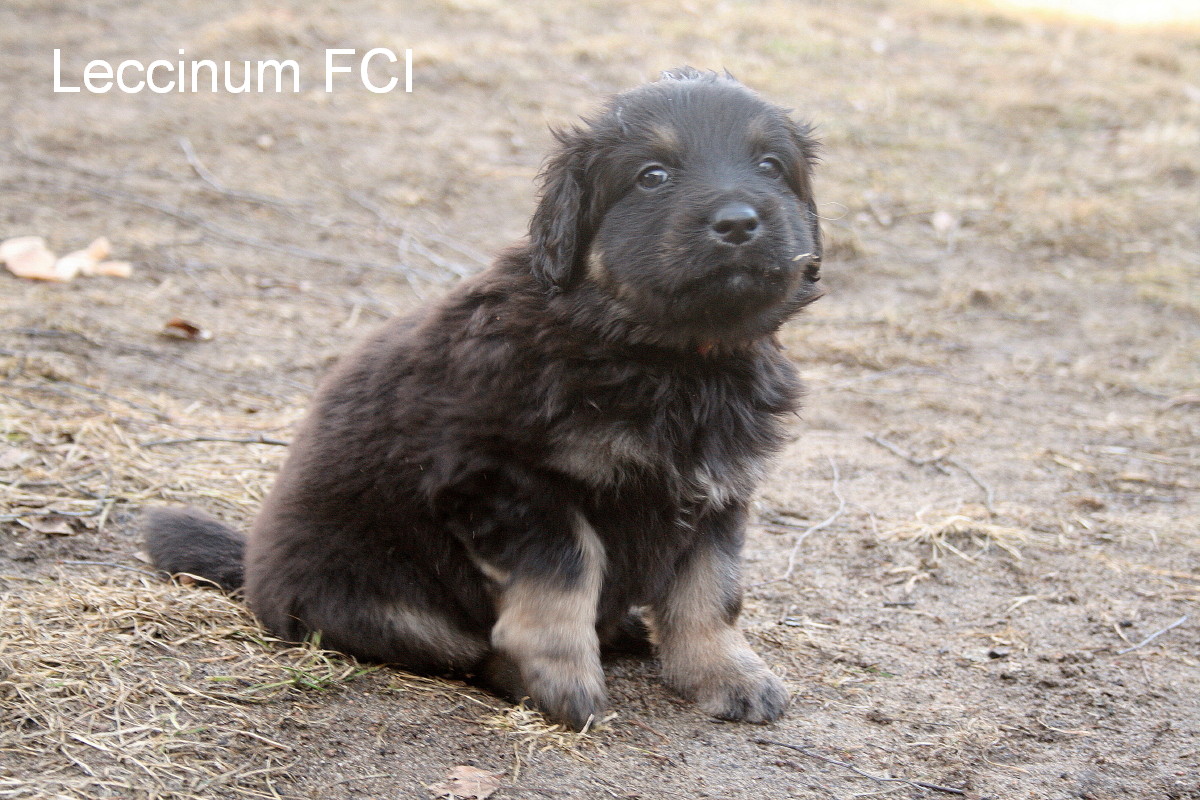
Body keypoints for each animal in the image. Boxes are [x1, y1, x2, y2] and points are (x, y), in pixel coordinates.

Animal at [145, 67, 823, 730]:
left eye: (770, 166)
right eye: (652, 176)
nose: (738, 222)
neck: (672, 357)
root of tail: (252, 569)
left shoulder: (717, 491)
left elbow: (712, 592)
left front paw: (727, 674)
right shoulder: (503, 477)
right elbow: (568, 569)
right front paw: (564, 681)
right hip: (372, 593)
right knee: (460, 648)